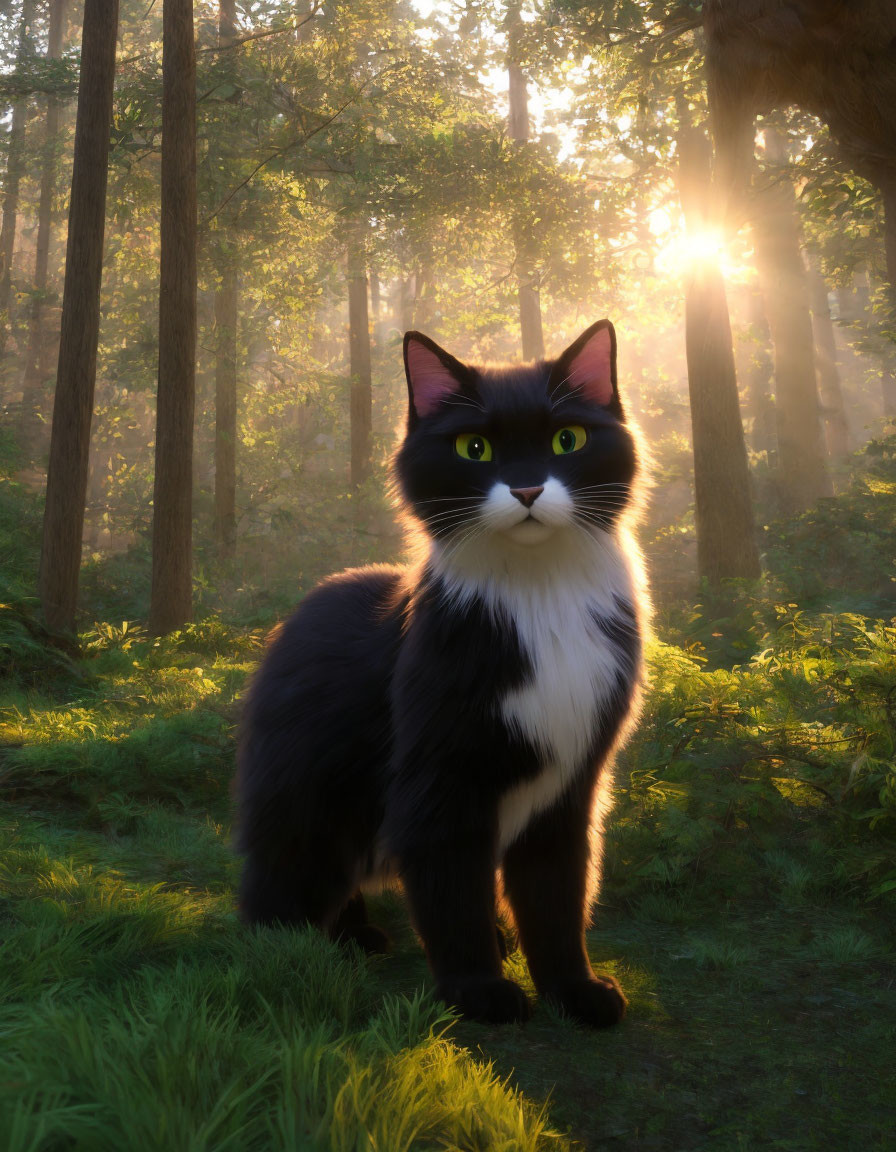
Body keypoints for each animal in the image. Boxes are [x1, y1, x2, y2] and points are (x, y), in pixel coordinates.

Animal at [236, 320, 640, 1032]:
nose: (527, 489)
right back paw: (303, 948)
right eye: (474, 448)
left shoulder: (571, 783)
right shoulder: (440, 780)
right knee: (280, 887)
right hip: (307, 802)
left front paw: (574, 991)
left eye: (567, 440)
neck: (538, 599)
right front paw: (478, 990)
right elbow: (452, 893)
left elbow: (557, 898)